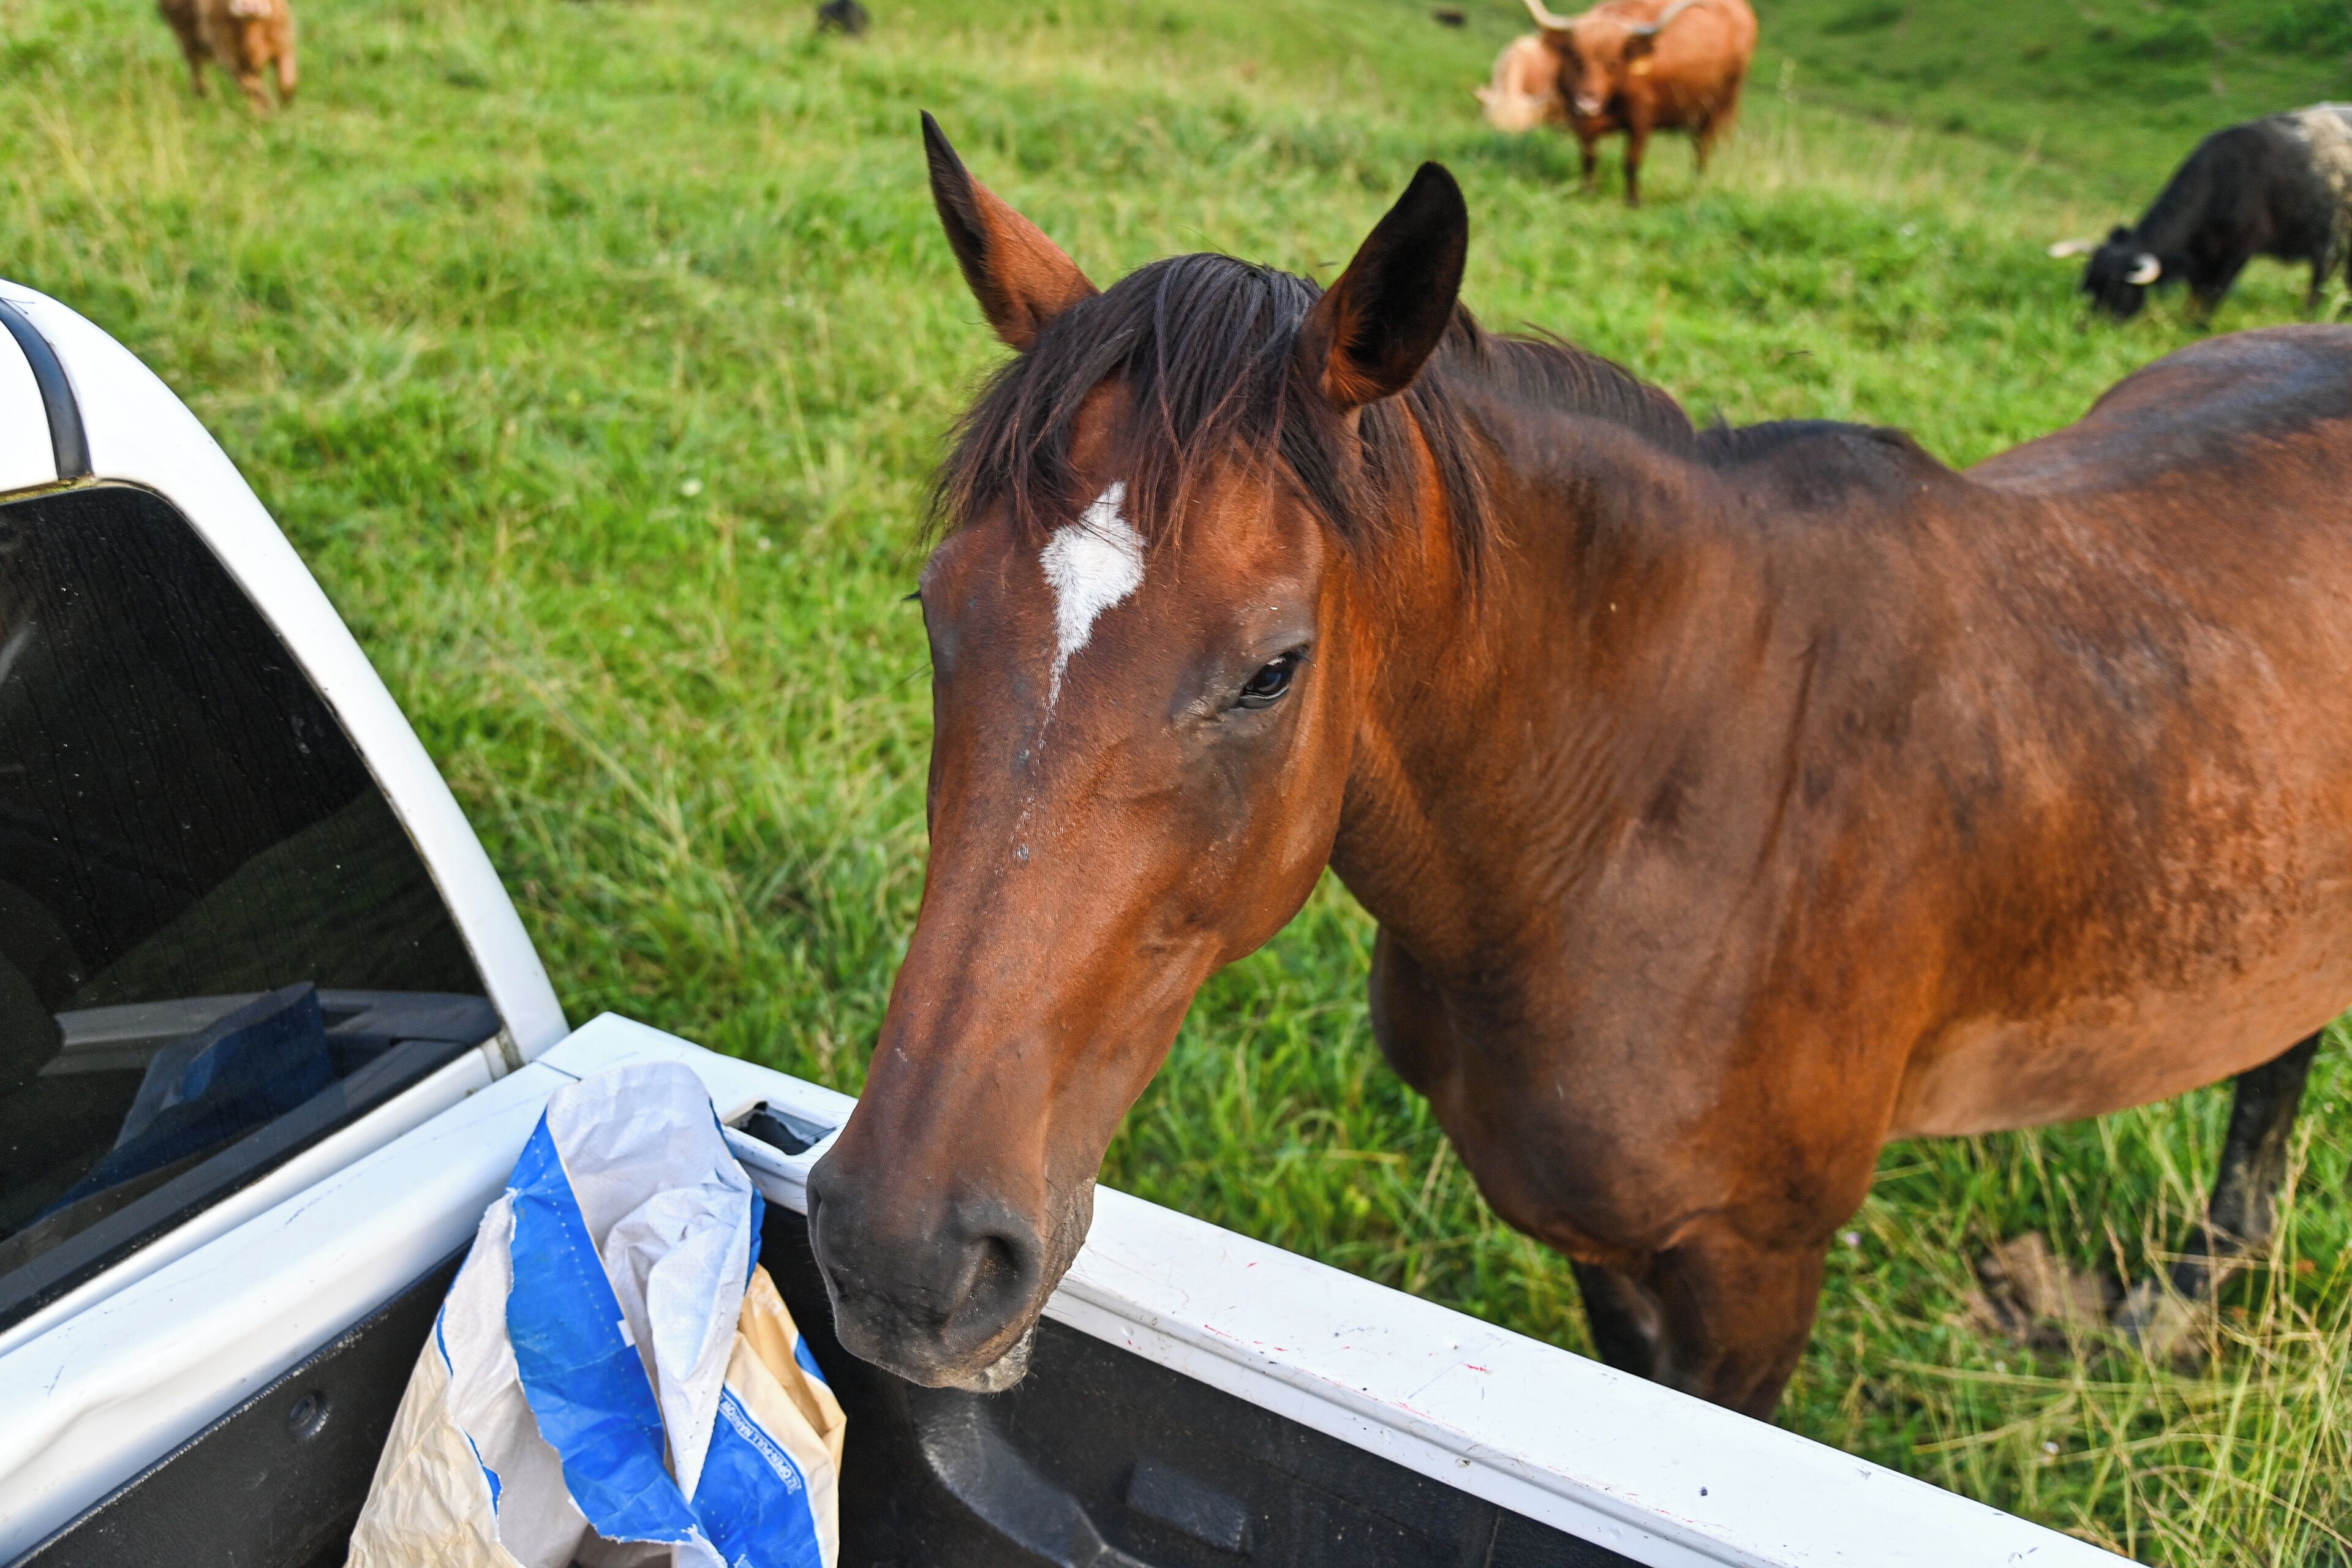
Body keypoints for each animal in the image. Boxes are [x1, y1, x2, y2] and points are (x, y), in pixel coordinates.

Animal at [805, 115, 2352, 1418]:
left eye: (1272, 667)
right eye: (939, 606)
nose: (903, 1249)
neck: (1647, 817)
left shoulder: (1750, 1264)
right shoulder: (1609, 1249)